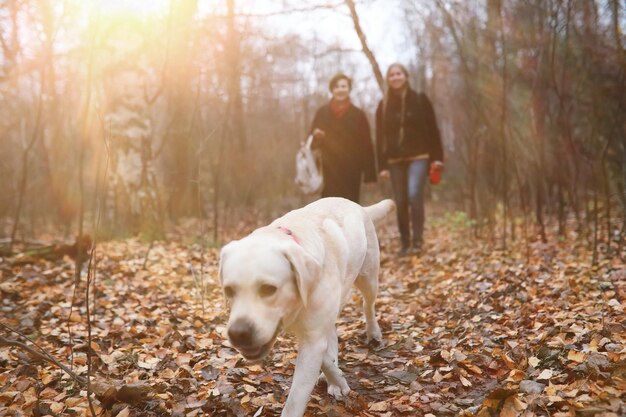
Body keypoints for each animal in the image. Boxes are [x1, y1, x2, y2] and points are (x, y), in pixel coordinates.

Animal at [218, 197, 394, 414]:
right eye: (229, 290)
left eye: (268, 289)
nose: (238, 333)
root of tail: (358, 205)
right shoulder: (313, 332)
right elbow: (325, 354)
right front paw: (337, 379)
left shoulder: (313, 336)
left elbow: (295, 400)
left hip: (368, 278)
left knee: (368, 305)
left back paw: (373, 333)